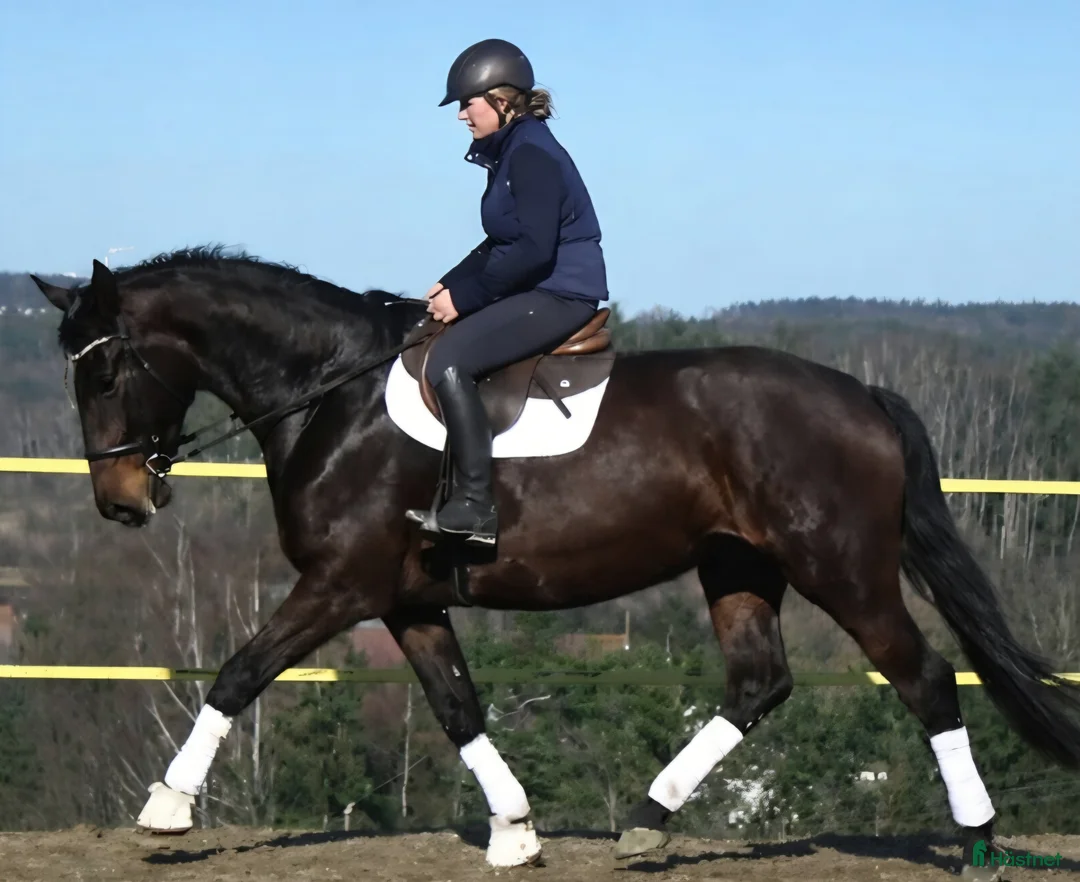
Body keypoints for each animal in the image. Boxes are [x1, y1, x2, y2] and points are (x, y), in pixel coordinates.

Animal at [30, 249, 1080, 880]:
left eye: (107, 369)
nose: (120, 503)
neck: (332, 399)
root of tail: (859, 394)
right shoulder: (405, 600)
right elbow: (457, 708)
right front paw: (517, 831)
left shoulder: (338, 586)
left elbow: (240, 672)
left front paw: (166, 808)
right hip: (739, 568)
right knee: (760, 682)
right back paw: (649, 818)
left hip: (843, 569)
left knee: (925, 678)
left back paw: (980, 839)